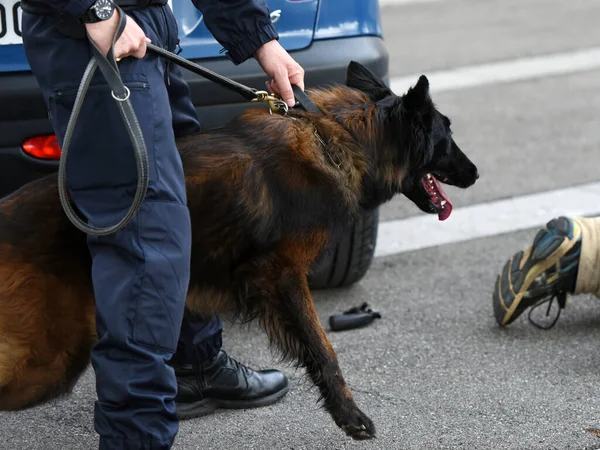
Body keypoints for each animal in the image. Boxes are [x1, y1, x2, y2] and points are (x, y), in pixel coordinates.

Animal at [0, 62, 478, 440]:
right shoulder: (282, 275)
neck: (342, 138)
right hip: (51, 358)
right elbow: (323, 347)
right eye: (447, 136)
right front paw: (350, 415)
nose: (475, 173)